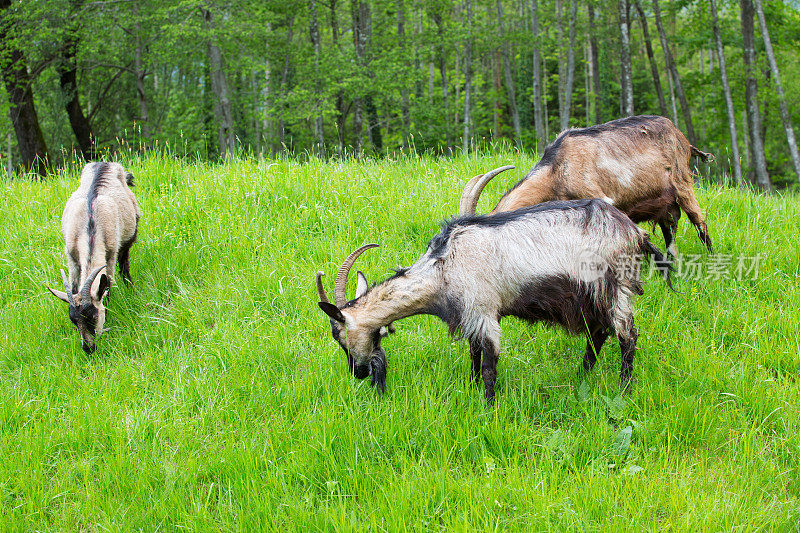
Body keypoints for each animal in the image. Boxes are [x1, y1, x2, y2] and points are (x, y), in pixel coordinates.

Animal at [45, 162, 141, 354]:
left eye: (94, 316)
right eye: (73, 321)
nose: (88, 348)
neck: (89, 226)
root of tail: (105, 163)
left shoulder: (110, 254)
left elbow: (107, 285)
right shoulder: (72, 257)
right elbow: (74, 286)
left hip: (129, 235)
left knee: (124, 264)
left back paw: (130, 287)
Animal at [316, 198, 672, 404]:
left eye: (338, 336)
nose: (359, 373)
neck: (443, 268)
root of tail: (635, 232)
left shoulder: (484, 310)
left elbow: (488, 364)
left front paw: (488, 407)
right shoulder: (472, 316)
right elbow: (474, 358)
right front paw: (473, 391)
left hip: (615, 288)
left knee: (627, 336)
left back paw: (623, 389)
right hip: (589, 299)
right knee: (597, 336)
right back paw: (579, 379)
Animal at [460, 114, 716, 260]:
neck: (558, 169)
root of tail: (681, 137)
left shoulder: (602, 198)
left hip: (682, 183)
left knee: (700, 223)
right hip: (664, 203)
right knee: (670, 228)